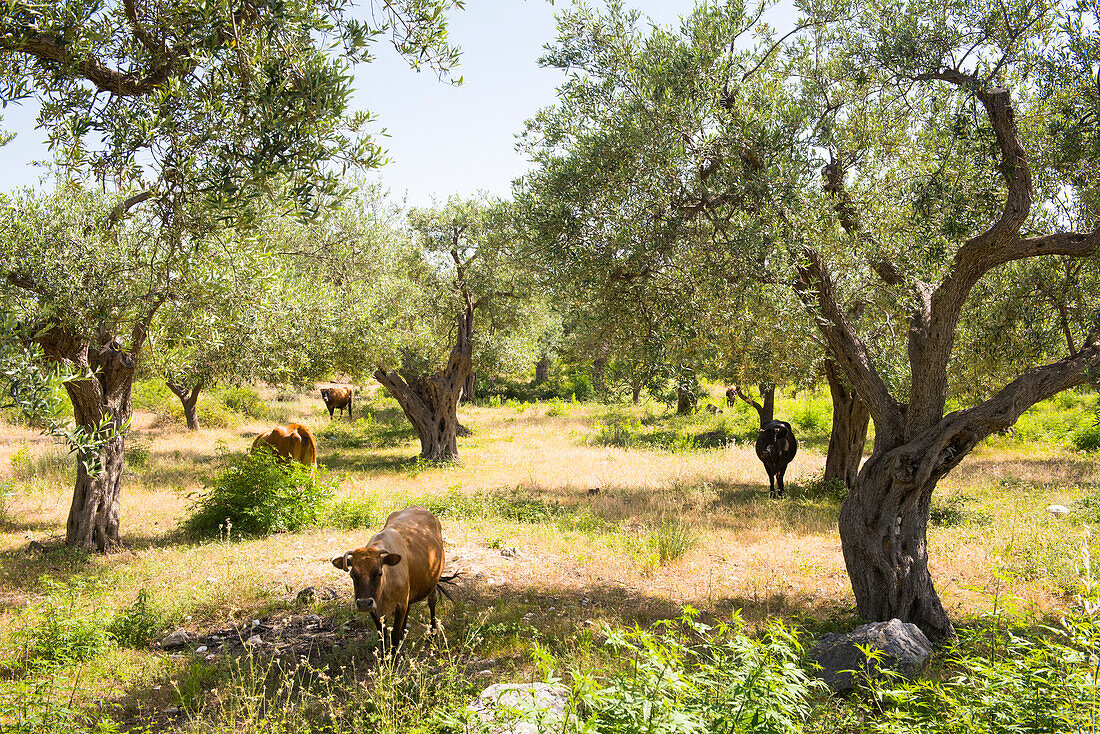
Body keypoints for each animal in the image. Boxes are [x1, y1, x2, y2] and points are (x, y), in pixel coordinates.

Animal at [327, 506, 448, 655]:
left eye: (379, 573)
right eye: (352, 575)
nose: (363, 603)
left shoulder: (400, 605)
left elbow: (394, 635)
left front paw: (394, 657)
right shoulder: (375, 609)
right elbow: (382, 636)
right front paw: (386, 656)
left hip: (433, 582)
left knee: (432, 602)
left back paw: (433, 634)